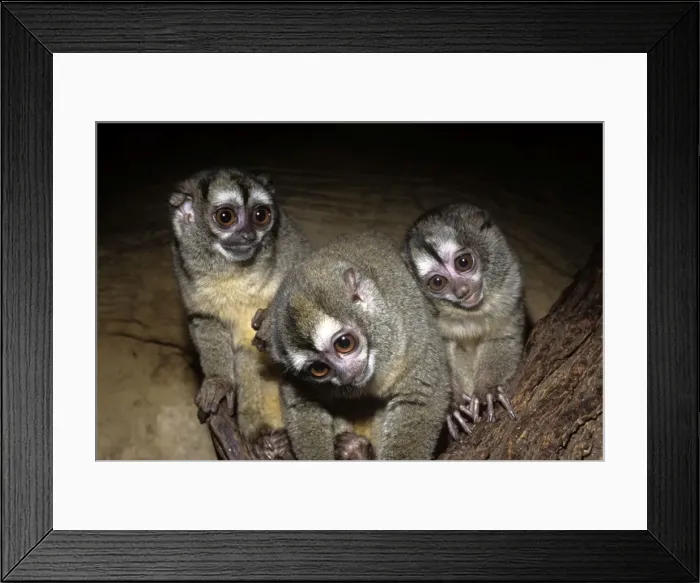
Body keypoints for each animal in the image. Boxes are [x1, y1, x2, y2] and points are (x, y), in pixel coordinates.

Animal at [169, 167, 311, 444]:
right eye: (226, 217)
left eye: (261, 215)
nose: (248, 235)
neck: (235, 272)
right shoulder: (184, 269)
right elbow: (205, 321)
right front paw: (219, 383)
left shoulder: (291, 244)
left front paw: (270, 320)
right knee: (247, 356)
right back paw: (263, 441)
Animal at [250, 231, 452, 460]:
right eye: (318, 369)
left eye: (344, 344)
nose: (347, 374)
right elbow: (302, 401)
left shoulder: (409, 336)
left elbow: (422, 393)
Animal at [402, 203, 526, 440]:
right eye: (438, 282)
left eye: (463, 262)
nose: (462, 291)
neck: (470, 313)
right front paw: (453, 408)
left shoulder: (510, 285)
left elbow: (502, 336)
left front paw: (487, 391)